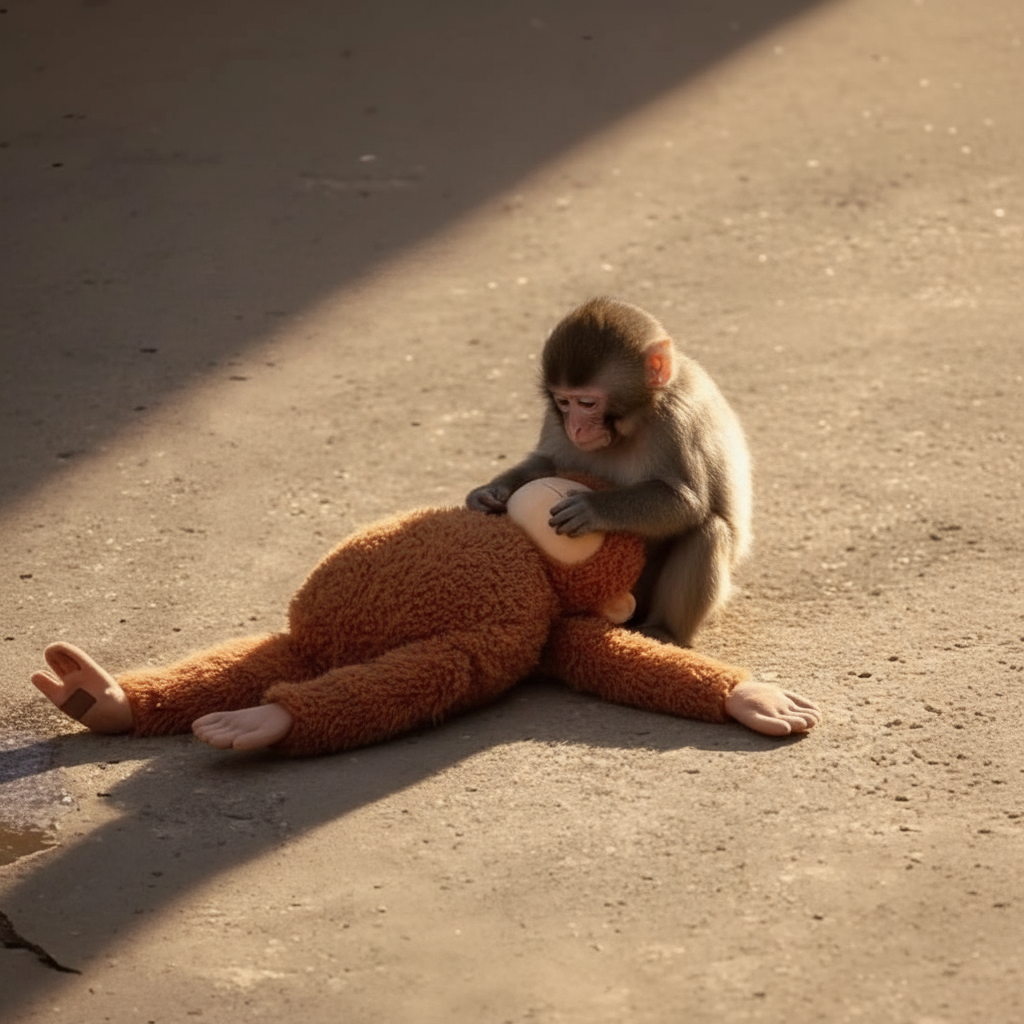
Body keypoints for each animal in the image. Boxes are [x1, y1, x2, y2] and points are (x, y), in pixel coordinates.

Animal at [466, 297, 752, 646]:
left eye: (588, 403)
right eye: (564, 402)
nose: (575, 428)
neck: (635, 421)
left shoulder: (677, 421)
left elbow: (688, 503)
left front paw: (592, 508)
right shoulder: (554, 421)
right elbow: (547, 463)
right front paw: (489, 493)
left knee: (708, 531)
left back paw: (663, 631)